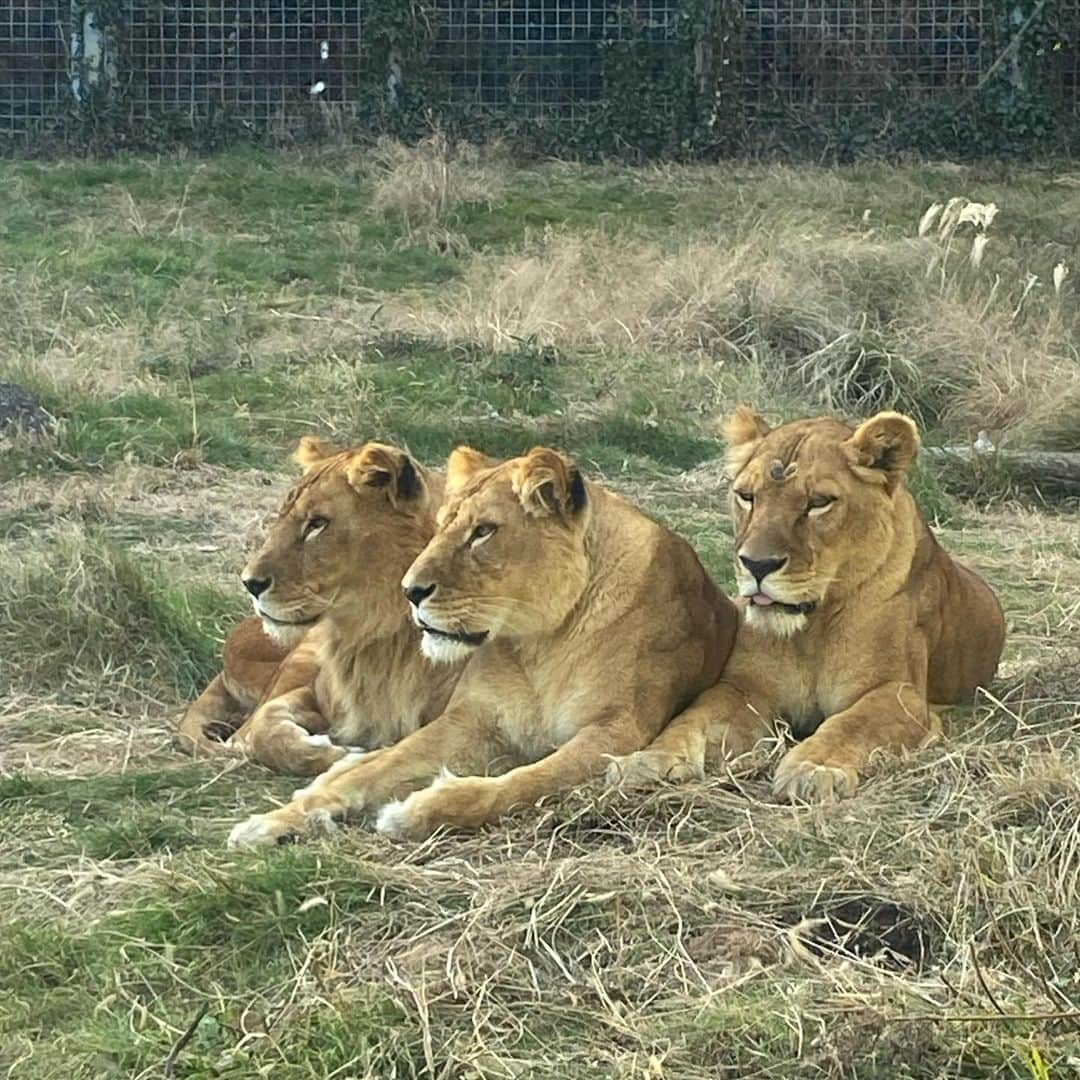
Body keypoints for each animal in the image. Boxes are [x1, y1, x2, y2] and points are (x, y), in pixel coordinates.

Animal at [178, 438, 464, 777]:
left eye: (317, 524)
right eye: (282, 516)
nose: (249, 583)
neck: (383, 638)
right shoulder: (316, 692)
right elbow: (263, 729)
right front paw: (339, 753)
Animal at [223, 442, 738, 846]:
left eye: (484, 531)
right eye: (442, 526)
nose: (410, 590)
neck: (541, 644)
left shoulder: (617, 731)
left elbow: (525, 782)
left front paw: (417, 811)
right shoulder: (470, 719)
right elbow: (381, 767)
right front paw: (275, 821)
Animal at [604, 406, 1006, 803]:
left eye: (818, 503)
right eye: (746, 496)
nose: (757, 565)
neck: (811, 629)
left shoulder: (898, 694)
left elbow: (850, 725)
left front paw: (814, 769)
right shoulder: (745, 687)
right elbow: (692, 719)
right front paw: (647, 760)